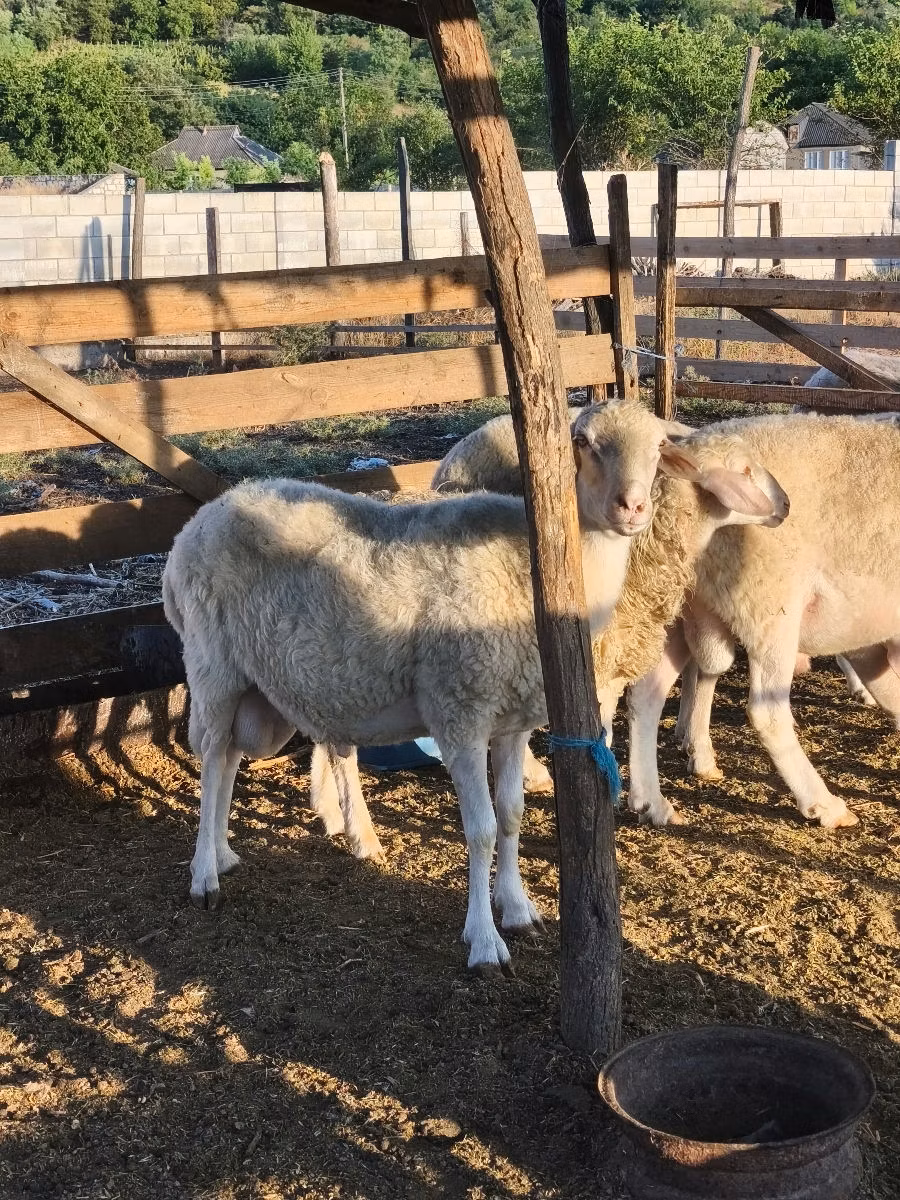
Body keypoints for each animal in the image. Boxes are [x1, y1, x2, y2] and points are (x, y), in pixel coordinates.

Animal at [165, 399, 717, 972]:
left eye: (658, 447)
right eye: (583, 441)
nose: (631, 507)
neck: (539, 568)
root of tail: (202, 519)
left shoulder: (514, 719)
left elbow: (512, 815)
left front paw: (518, 908)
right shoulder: (461, 712)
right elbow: (482, 830)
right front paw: (484, 940)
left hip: (245, 681)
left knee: (228, 757)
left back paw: (223, 852)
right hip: (212, 665)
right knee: (211, 760)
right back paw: (204, 875)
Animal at [627, 412, 900, 828]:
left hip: (676, 606)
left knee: (646, 694)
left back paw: (652, 802)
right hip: (769, 606)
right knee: (767, 713)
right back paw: (824, 804)